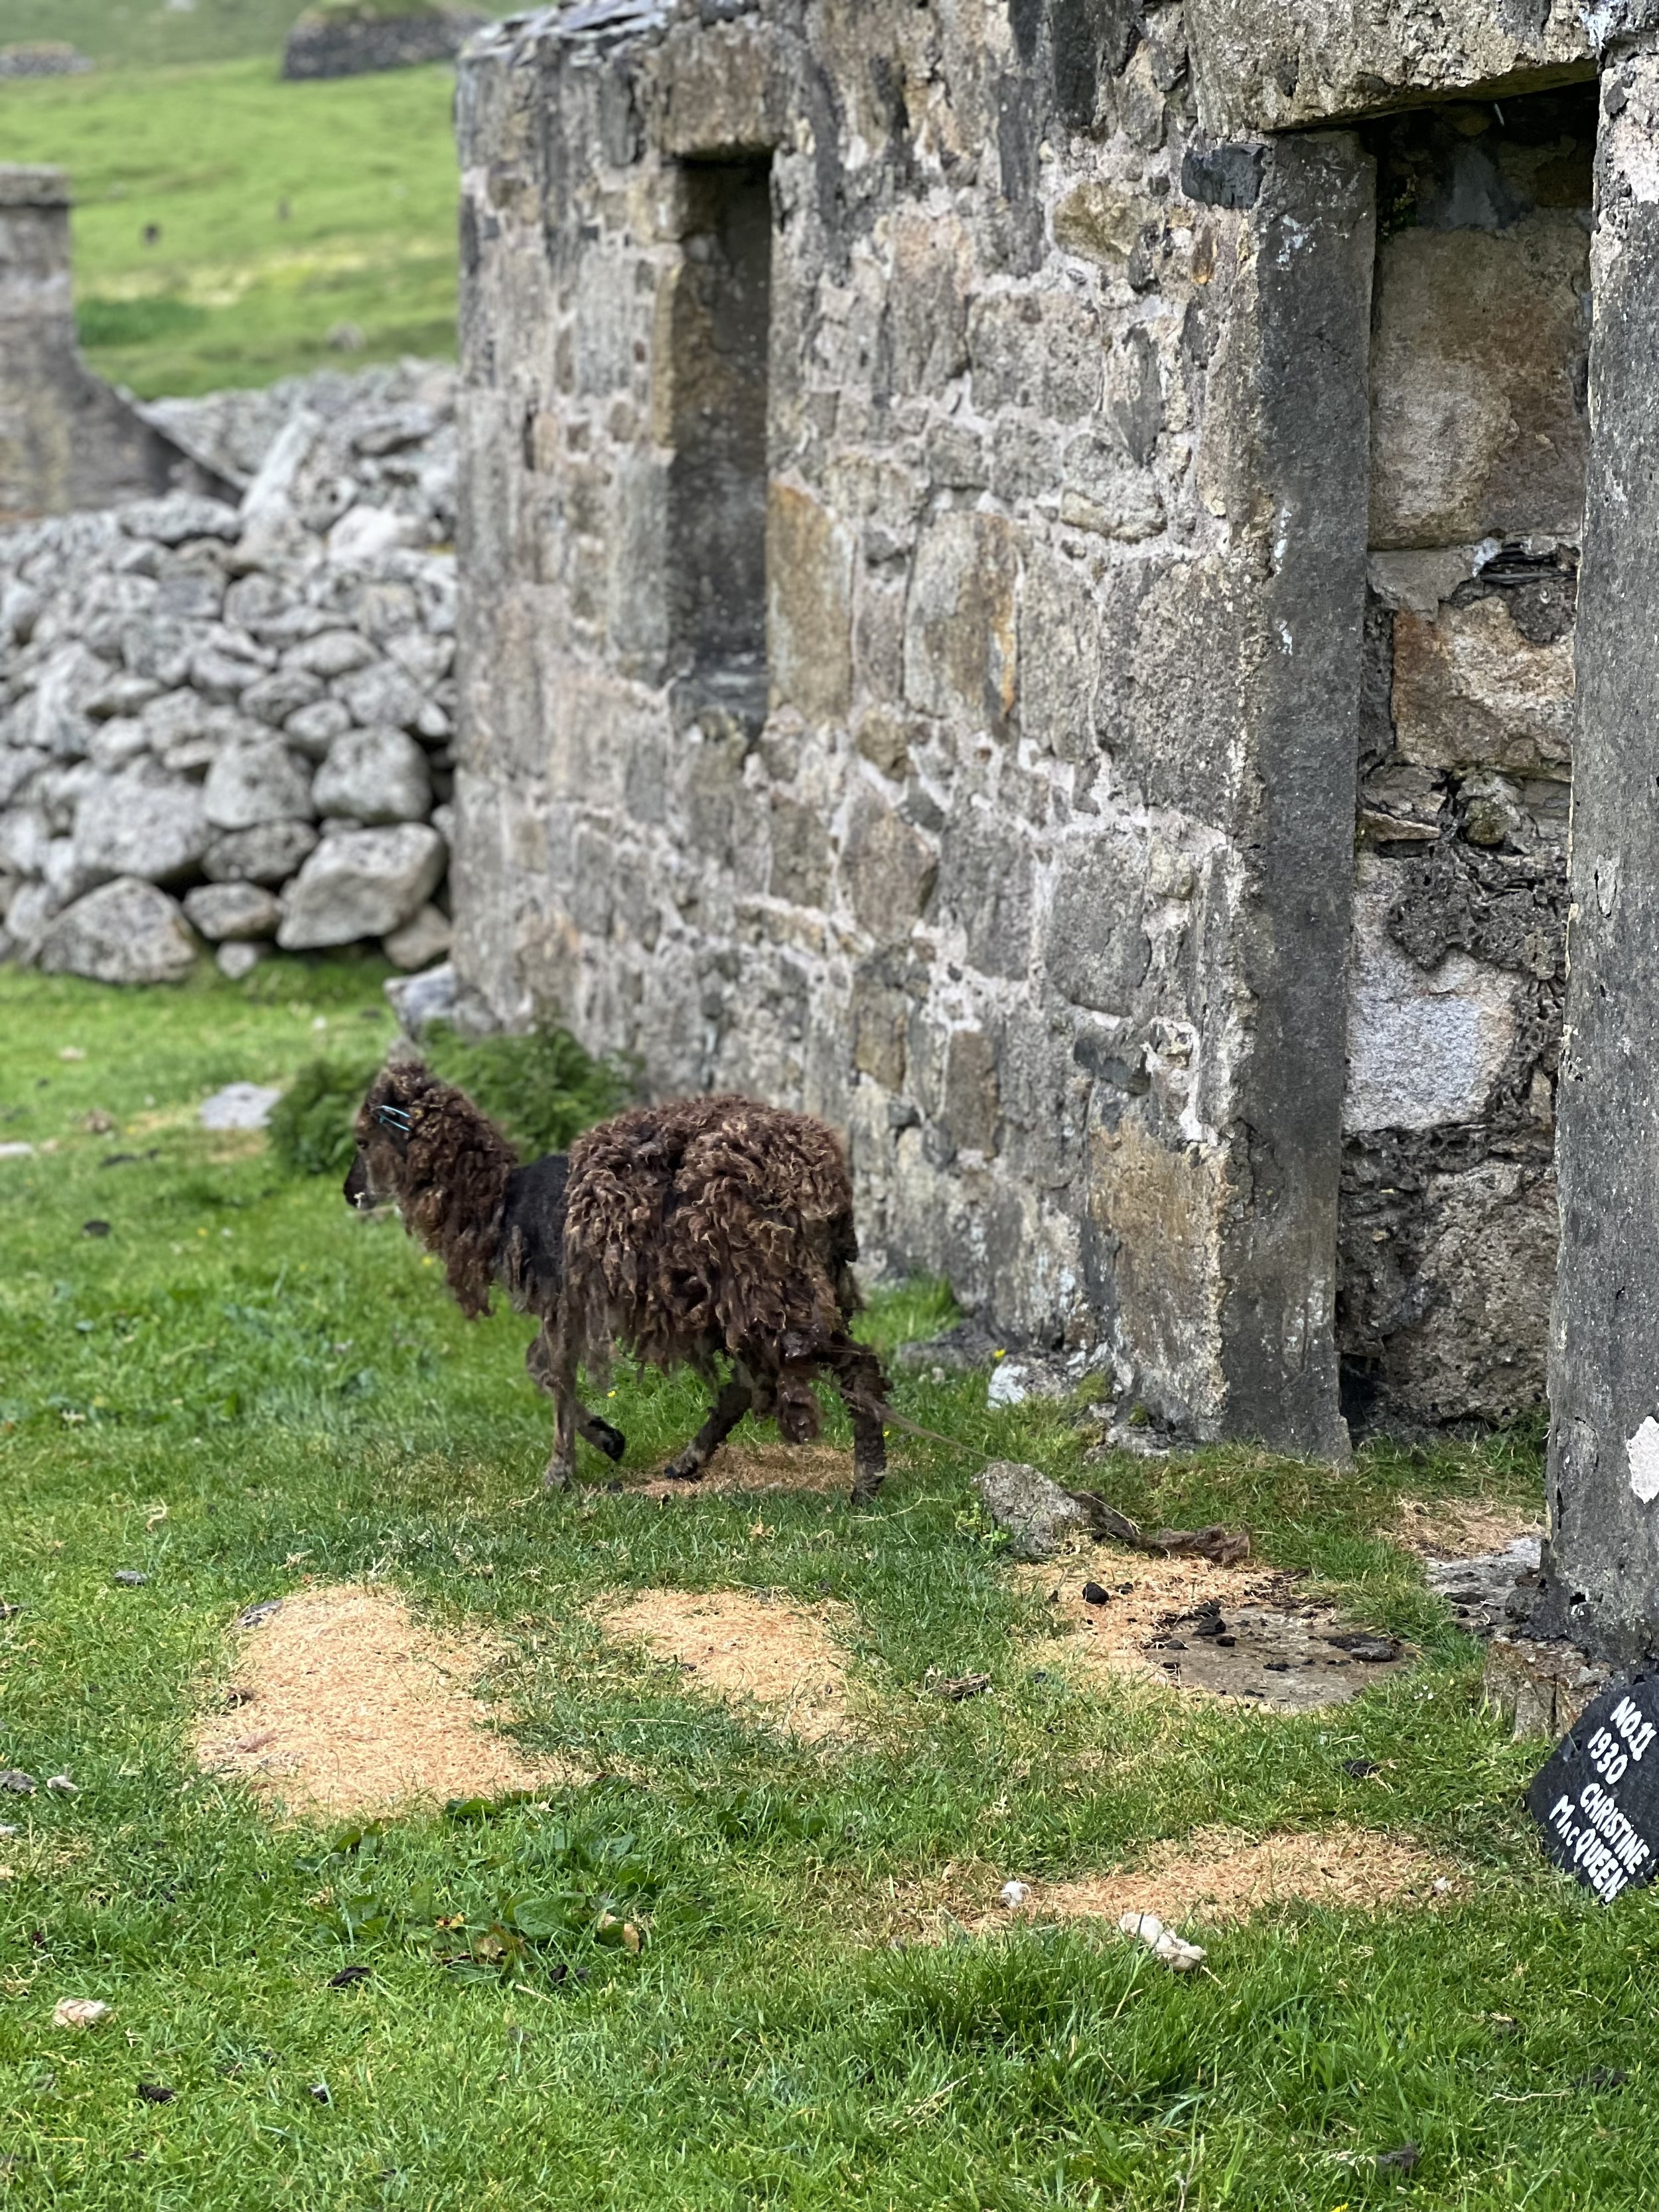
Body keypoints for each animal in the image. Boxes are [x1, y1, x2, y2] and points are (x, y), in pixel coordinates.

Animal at [343, 1066, 890, 1504]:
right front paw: (608, 1438)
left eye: (363, 1140)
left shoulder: (561, 1298)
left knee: (852, 1364)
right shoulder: (568, 1304)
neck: (501, 1203)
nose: (349, 1195)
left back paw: (866, 1483)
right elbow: (540, 1367)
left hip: (767, 1281)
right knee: (750, 1379)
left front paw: (559, 1472)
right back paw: (691, 1459)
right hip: (741, 1293)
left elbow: (555, 1374)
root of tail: (819, 1175)